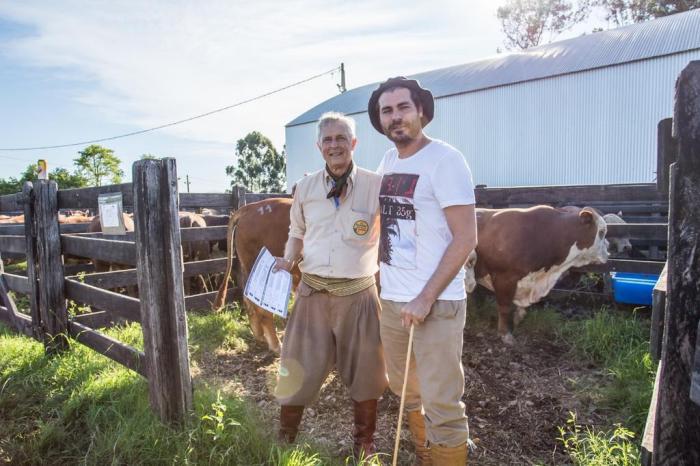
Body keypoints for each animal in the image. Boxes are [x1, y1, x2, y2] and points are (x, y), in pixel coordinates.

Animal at [470, 206, 608, 344]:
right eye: (601, 232)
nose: (608, 248)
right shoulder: (504, 278)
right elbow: (505, 307)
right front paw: (506, 334)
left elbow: (521, 311)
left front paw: (516, 320)